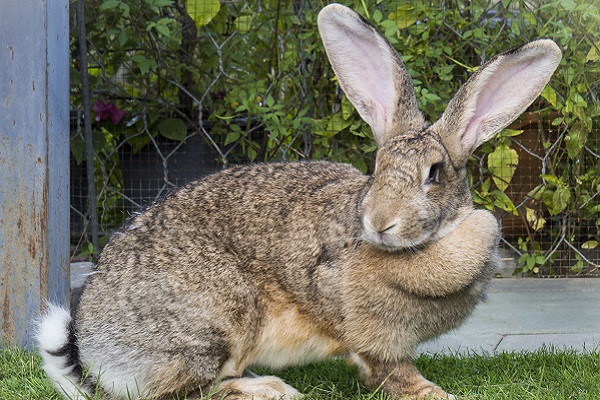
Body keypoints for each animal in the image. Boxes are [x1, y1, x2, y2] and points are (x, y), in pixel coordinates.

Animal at [37, 3, 564, 400]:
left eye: (434, 174)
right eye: (376, 167)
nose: (380, 223)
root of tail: (93, 348)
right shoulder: (371, 334)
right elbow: (390, 370)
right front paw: (434, 393)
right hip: (215, 319)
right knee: (187, 392)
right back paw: (269, 389)